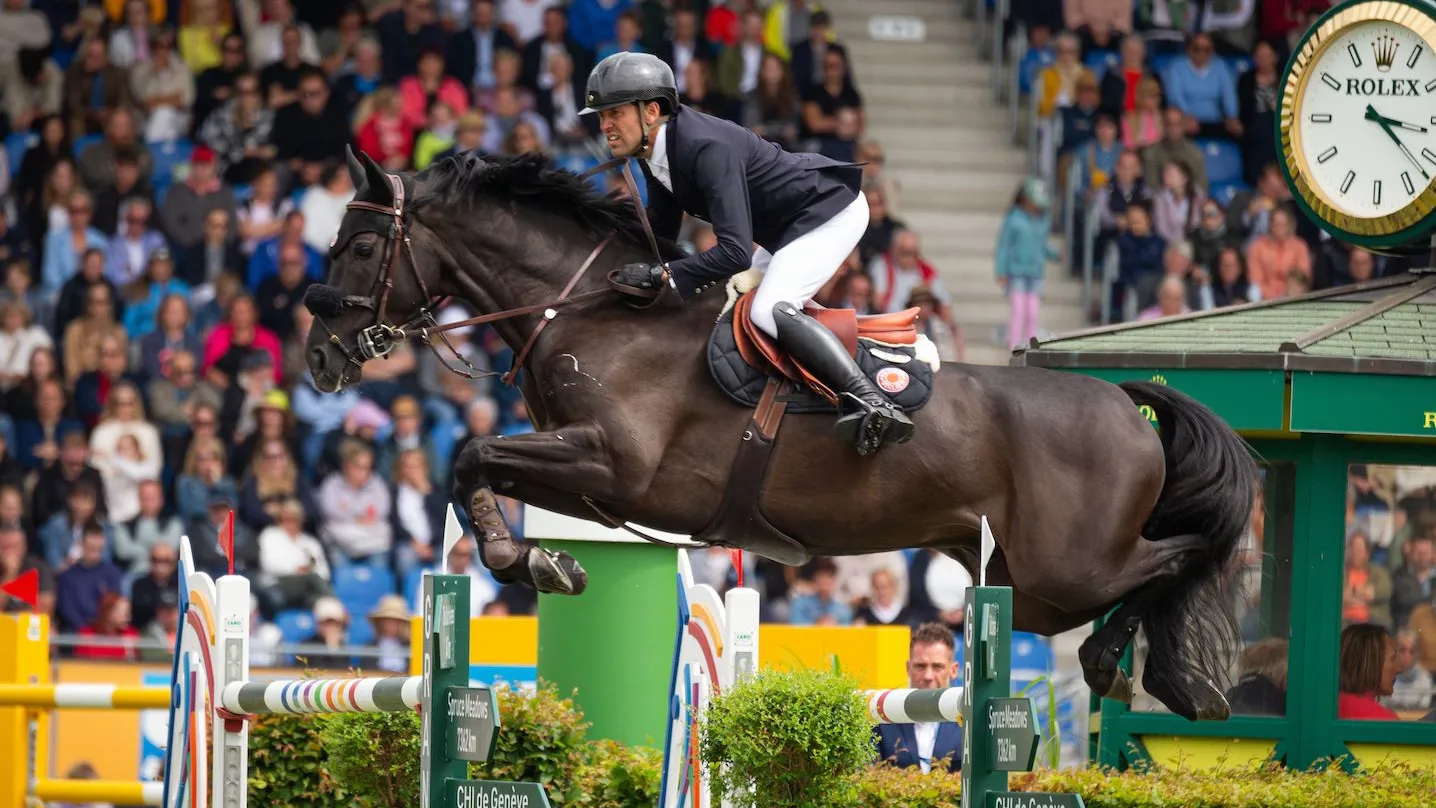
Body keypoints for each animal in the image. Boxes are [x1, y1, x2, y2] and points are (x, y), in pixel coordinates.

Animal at [303, 147, 1258, 722]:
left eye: (360, 248)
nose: (317, 357)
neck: (593, 313)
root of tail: (1124, 404)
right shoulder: (587, 479)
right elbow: (475, 466)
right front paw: (543, 561)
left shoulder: (614, 467)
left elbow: (472, 455)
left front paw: (529, 563)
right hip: (1023, 578)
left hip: (1064, 567)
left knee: (1179, 555)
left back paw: (1143, 673)